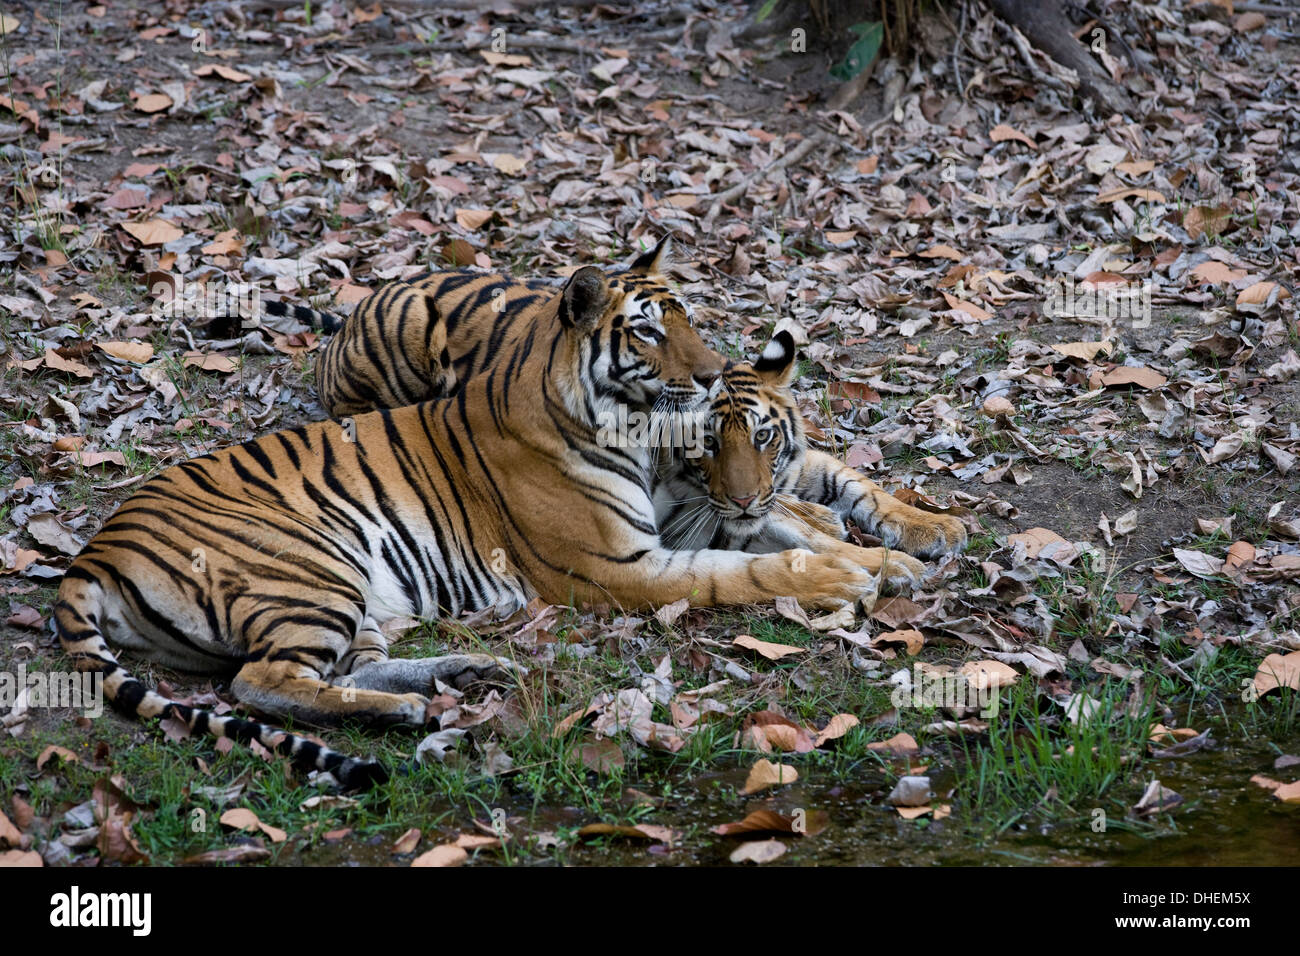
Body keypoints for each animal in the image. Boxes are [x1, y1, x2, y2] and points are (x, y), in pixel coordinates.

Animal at [55, 265, 880, 789]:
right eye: (647, 333)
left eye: (690, 319)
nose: (712, 375)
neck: (632, 434)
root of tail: (94, 551)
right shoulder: (620, 566)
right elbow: (739, 569)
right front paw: (847, 574)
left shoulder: (679, 518)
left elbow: (770, 530)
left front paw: (875, 557)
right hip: (310, 566)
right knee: (261, 683)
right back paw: (416, 704)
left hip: (347, 594)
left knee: (339, 670)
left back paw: (455, 680)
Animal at [653, 331, 966, 586]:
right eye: (707, 442)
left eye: (762, 436)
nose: (744, 501)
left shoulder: (796, 465)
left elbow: (866, 489)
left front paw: (936, 526)